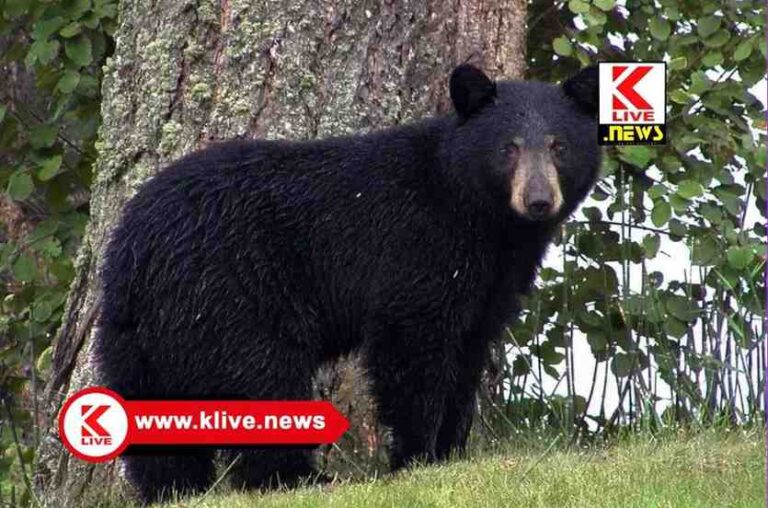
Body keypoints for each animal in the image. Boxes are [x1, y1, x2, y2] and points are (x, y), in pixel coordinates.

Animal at [93, 63, 601, 503]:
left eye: (558, 146)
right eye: (507, 148)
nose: (538, 200)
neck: (482, 218)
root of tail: (135, 247)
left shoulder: (489, 284)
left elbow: (467, 354)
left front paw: (452, 452)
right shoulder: (419, 249)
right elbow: (411, 349)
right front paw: (416, 457)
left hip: (138, 334)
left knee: (154, 416)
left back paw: (175, 490)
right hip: (229, 296)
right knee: (262, 381)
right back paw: (298, 478)